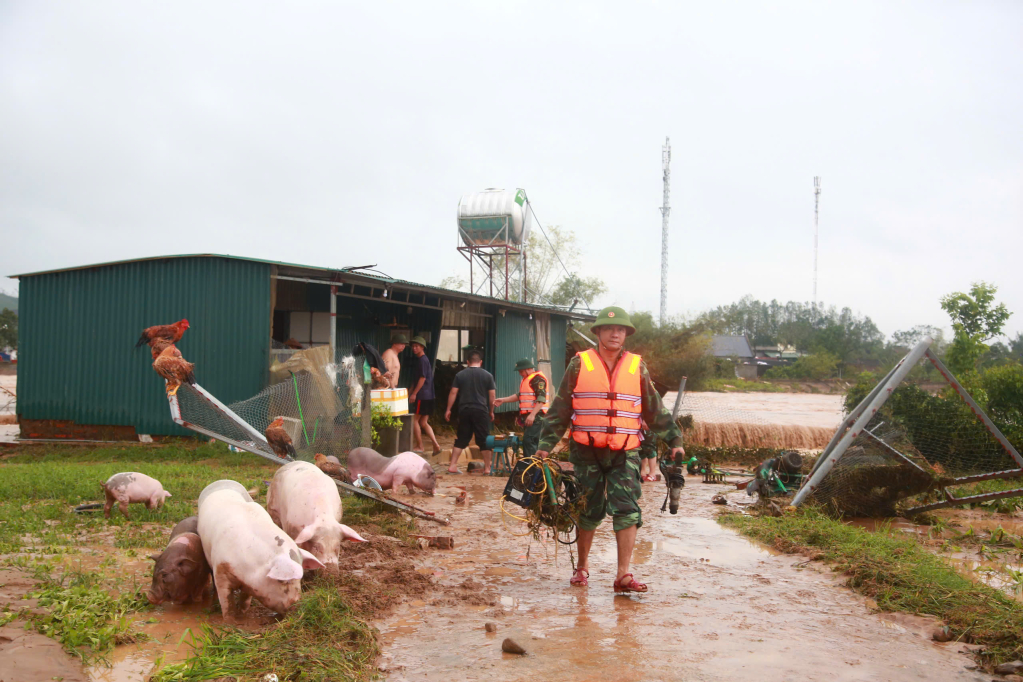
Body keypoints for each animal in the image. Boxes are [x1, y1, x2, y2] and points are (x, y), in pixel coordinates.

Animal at [197, 484, 325, 617]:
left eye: (300, 579)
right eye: (281, 580)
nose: (297, 606)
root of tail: (221, 482)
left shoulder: (250, 584)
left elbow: (245, 598)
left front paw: (242, 614)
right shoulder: (220, 571)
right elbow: (227, 603)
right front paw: (230, 619)